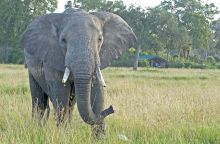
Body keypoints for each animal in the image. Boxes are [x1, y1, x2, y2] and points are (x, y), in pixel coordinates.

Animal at [21, 8, 136, 137]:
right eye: (63, 40)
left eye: (100, 39)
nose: (112, 108)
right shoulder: (52, 55)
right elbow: (60, 92)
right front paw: (63, 136)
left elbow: (98, 91)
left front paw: (100, 138)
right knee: (39, 100)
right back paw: (37, 129)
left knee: (70, 104)